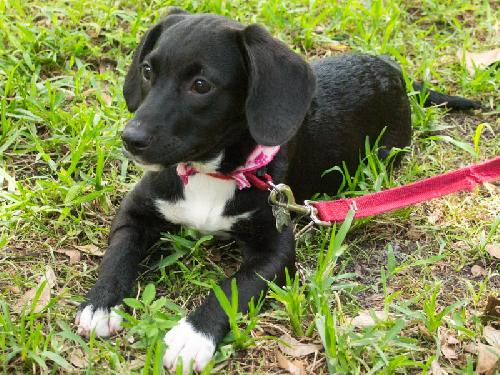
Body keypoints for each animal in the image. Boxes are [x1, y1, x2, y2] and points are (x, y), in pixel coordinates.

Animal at [73, 8, 476, 374]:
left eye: (201, 85)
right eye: (147, 71)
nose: (130, 139)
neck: (214, 174)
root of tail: (390, 68)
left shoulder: (276, 251)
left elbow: (232, 288)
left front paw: (192, 336)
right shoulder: (135, 212)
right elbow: (118, 255)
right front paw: (101, 303)